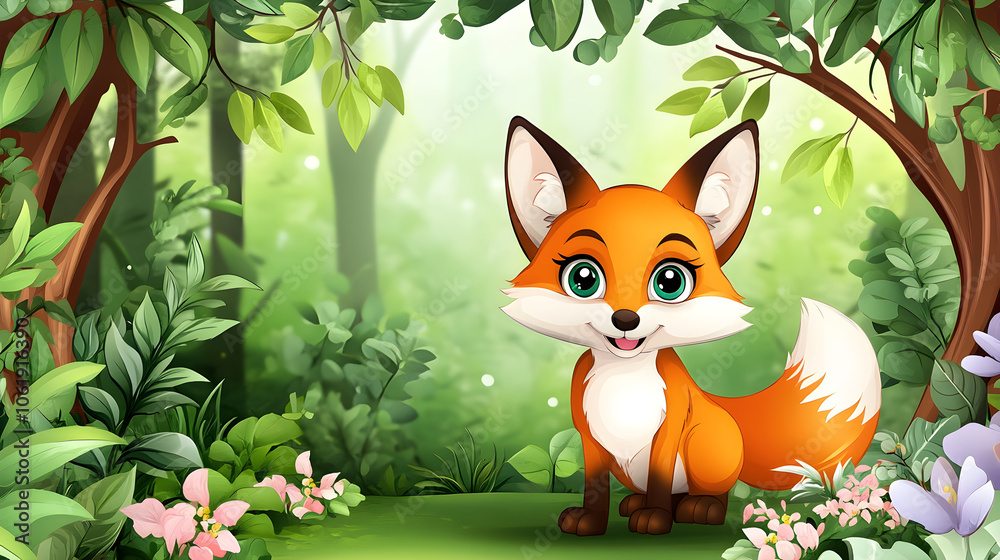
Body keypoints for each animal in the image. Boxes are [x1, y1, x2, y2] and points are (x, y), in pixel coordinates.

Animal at [500, 117, 881, 536]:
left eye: (670, 282)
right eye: (583, 278)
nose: (625, 319)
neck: (623, 378)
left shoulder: (671, 425)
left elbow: (660, 477)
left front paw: (655, 519)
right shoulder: (589, 437)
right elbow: (594, 486)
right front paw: (591, 521)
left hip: (704, 445)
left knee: (710, 493)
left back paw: (696, 509)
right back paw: (636, 504)